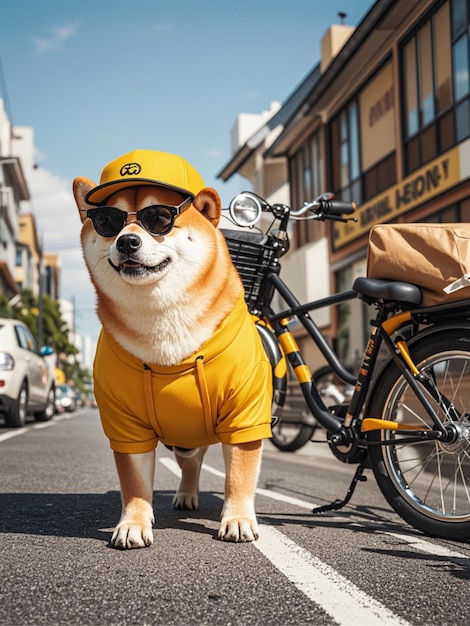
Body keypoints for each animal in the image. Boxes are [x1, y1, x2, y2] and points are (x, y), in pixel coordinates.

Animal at [72, 150, 274, 544]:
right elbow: (134, 481)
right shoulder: (126, 423)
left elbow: (239, 476)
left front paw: (238, 518)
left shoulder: (245, 413)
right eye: (108, 221)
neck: (163, 325)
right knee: (191, 463)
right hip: (182, 439)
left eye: (159, 219)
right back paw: (185, 495)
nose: (127, 242)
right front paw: (133, 523)